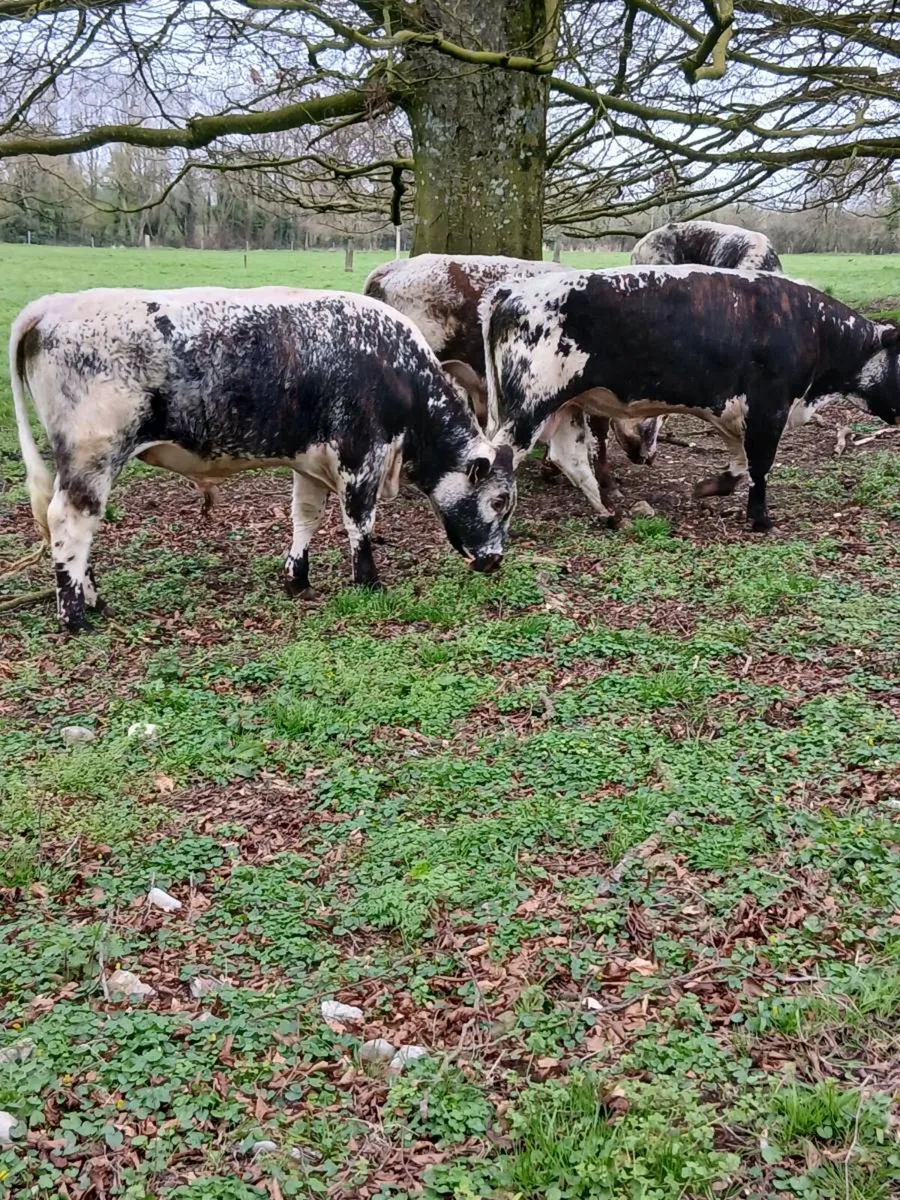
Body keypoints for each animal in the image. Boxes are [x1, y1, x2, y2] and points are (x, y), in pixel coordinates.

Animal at [10, 287, 516, 632]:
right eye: (498, 501)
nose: (494, 561)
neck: (395, 371)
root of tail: (51, 306)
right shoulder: (361, 458)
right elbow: (360, 523)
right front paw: (369, 581)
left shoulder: (311, 460)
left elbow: (305, 517)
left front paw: (298, 578)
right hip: (93, 457)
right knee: (70, 523)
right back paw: (76, 616)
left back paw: (93, 598)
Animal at [482, 265, 900, 531]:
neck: (810, 326)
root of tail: (512, 291)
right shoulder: (769, 409)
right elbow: (760, 466)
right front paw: (760, 519)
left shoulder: (731, 411)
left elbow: (740, 464)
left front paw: (710, 488)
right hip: (529, 411)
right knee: (494, 459)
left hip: (563, 406)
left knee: (568, 457)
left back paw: (609, 513)